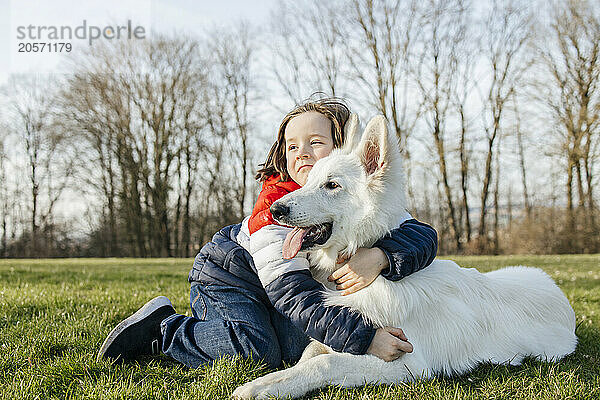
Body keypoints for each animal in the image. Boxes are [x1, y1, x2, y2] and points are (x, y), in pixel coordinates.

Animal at [232, 115, 580, 396]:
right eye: (312, 179)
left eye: (331, 185)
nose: (275, 210)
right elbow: (310, 354)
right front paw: (272, 379)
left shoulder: (407, 363)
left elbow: (323, 364)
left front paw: (262, 387)